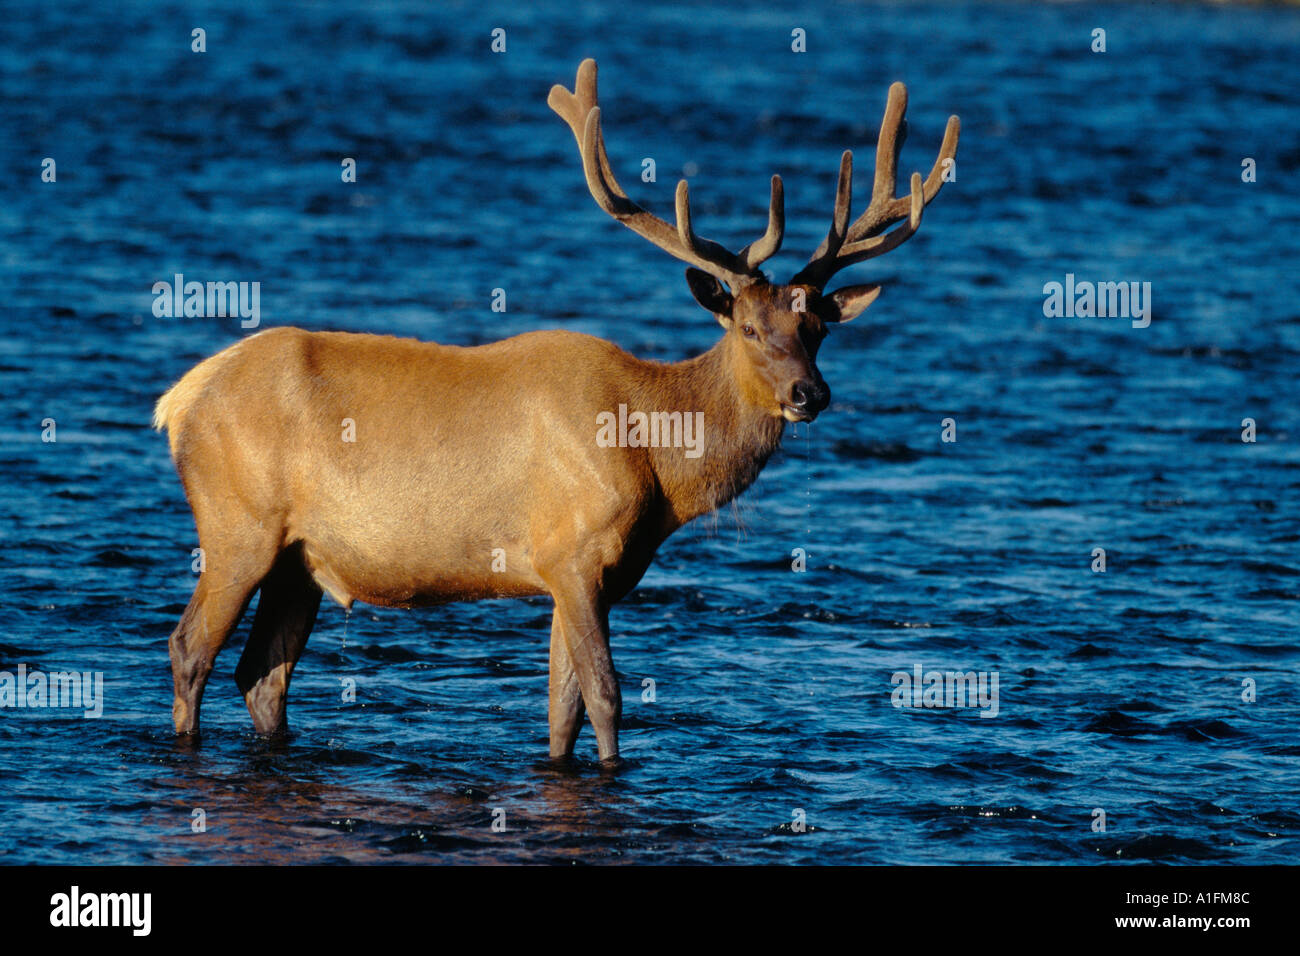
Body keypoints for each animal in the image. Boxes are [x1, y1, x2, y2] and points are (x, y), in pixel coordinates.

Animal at [157, 57, 961, 764]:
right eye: (750, 328)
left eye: (817, 328)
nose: (809, 394)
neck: (656, 459)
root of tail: (181, 399)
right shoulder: (571, 550)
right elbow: (605, 696)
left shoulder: (587, 571)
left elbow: (560, 707)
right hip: (238, 524)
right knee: (191, 649)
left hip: (300, 557)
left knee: (263, 675)